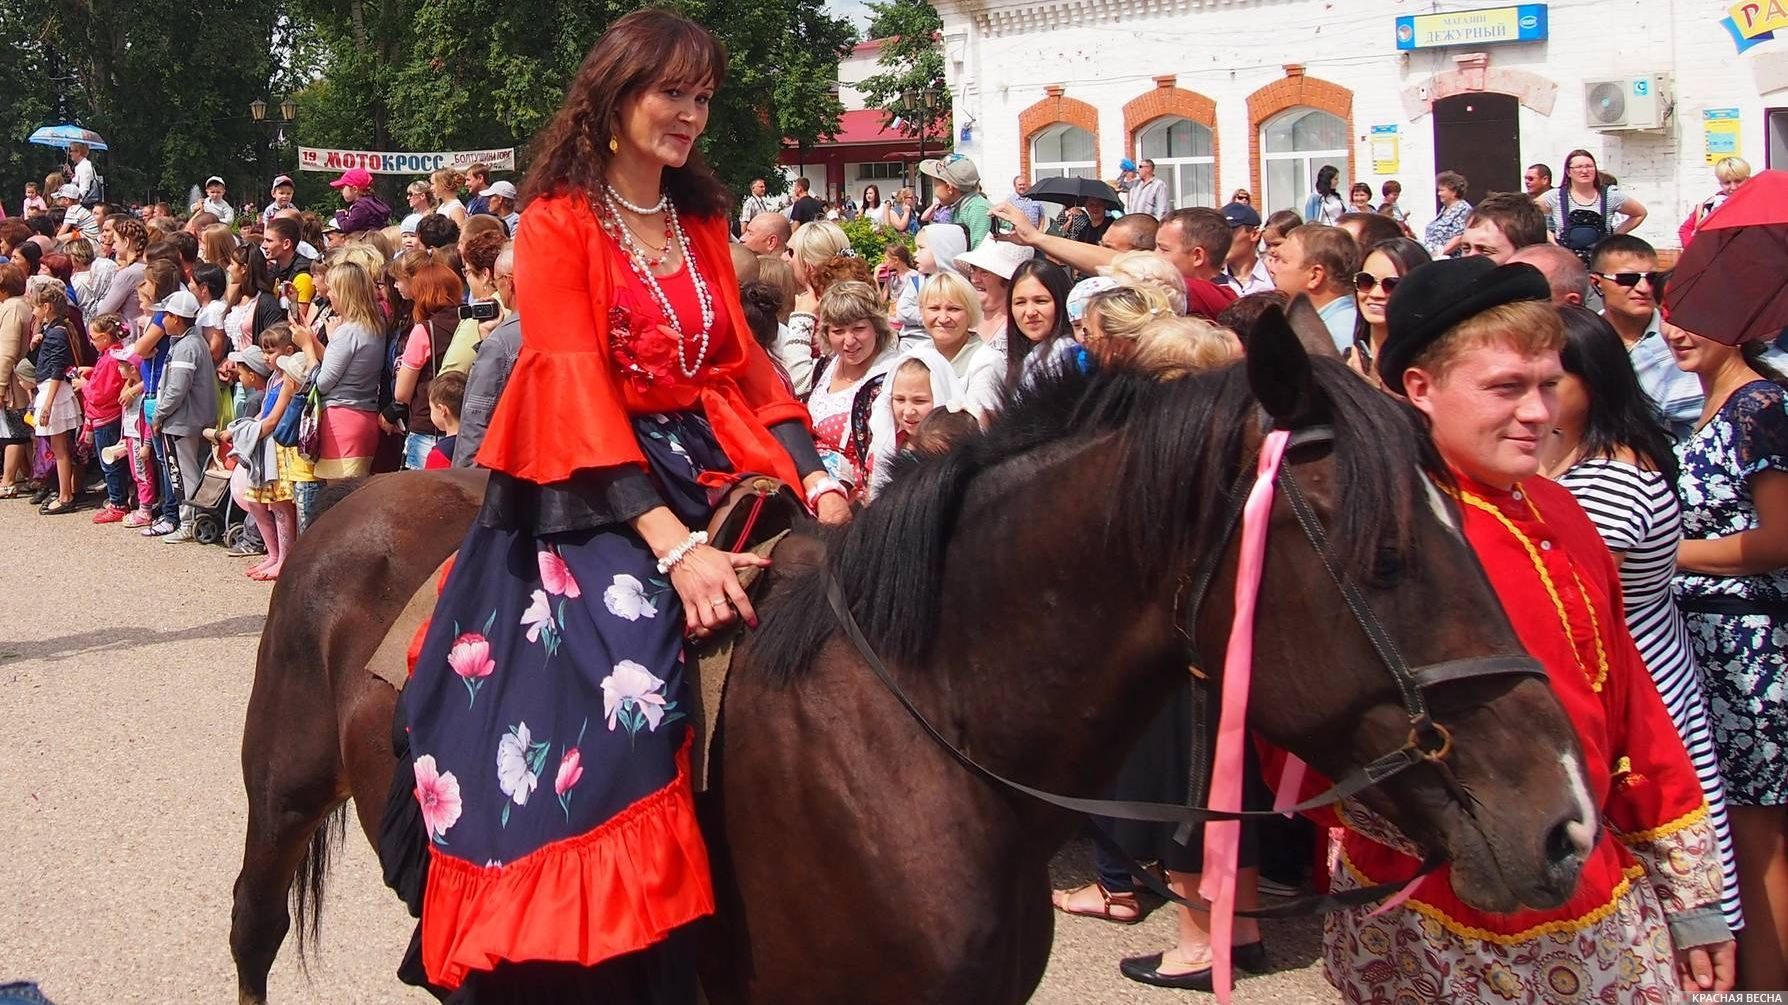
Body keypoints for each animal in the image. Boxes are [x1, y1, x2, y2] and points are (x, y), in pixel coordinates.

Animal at [230, 312, 1587, 1001]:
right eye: (1384, 556)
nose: (1568, 822)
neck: (925, 737)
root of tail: (355, 499)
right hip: (281, 795)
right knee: (252, 935)